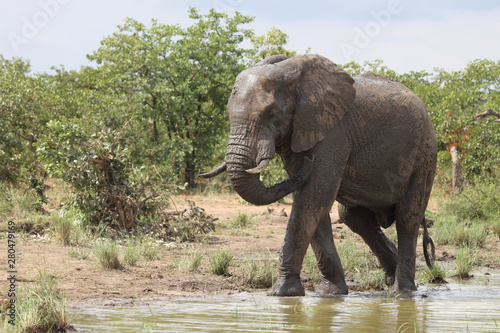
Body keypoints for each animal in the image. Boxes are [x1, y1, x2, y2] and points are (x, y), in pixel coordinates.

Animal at [201, 54, 436, 296]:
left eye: (272, 115)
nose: (309, 160)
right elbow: (314, 205)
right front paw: (330, 293)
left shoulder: (334, 132)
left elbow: (312, 198)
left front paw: (281, 293)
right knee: (352, 216)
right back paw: (391, 281)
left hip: (424, 154)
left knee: (407, 218)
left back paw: (403, 291)